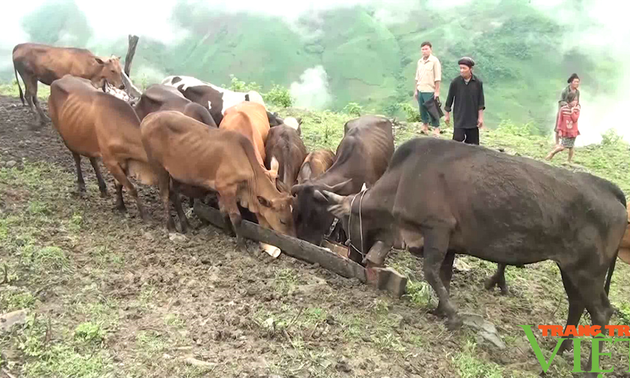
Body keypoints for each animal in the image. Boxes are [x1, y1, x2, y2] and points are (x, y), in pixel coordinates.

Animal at [47, 75, 156, 217]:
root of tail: (61, 78)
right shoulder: (110, 162)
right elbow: (131, 188)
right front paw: (143, 213)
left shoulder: (123, 161)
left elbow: (119, 184)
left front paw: (120, 205)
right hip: (67, 137)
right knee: (77, 157)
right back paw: (81, 185)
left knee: (92, 159)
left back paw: (102, 187)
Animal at [139, 109, 296, 241]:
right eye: (282, 220)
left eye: (291, 215)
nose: (291, 236)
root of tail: (148, 117)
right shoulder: (227, 188)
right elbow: (236, 217)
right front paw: (241, 245)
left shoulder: (220, 190)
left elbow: (224, 212)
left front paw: (229, 232)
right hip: (159, 167)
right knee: (165, 195)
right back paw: (171, 226)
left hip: (174, 173)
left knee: (174, 195)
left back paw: (186, 224)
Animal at [324, 136, 628, 372]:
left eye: (345, 223)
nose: (352, 259)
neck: (402, 181)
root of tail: (609, 189)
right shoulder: (450, 244)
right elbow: (444, 277)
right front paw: (440, 311)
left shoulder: (437, 229)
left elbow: (431, 272)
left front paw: (453, 315)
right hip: (570, 268)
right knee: (577, 305)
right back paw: (561, 349)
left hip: (587, 270)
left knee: (602, 312)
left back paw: (589, 367)